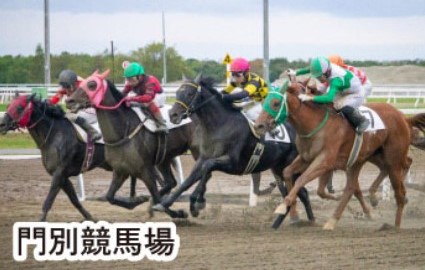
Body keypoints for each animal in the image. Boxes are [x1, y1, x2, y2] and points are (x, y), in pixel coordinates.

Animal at [0, 94, 144, 220]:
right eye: (9, 106)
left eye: (19, 107)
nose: (2, 124)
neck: (54, 134)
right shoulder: (63, 176)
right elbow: (74, 200)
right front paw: (90, 218)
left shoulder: (59, 173)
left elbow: (49, 200)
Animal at [153, 74, 314, 226]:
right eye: (178, 92)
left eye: (190, 93)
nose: (172, 115)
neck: (219, 125)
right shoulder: (203, 158)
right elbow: (188, 180)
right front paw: (164, 204)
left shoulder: (233, 163)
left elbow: (208, 168)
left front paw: (197, 203)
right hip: (278, 168)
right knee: (294, 193)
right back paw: (291, 221)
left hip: (289, 166)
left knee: (299, 192)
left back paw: (309, 221)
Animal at [253, 77, 424, 230]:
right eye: (264, 102)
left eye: (276, 103)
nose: (258, 126)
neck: (314, 124)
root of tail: (403, 117)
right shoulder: (306, 158)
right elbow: (288, 173)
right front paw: (293, 211)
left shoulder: (324, 161)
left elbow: (302, 179)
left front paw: (282, 207)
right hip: (365, 158)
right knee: (353, 187)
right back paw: (341, 216)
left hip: (393, 158)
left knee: (399, 189)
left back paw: (394, 226)